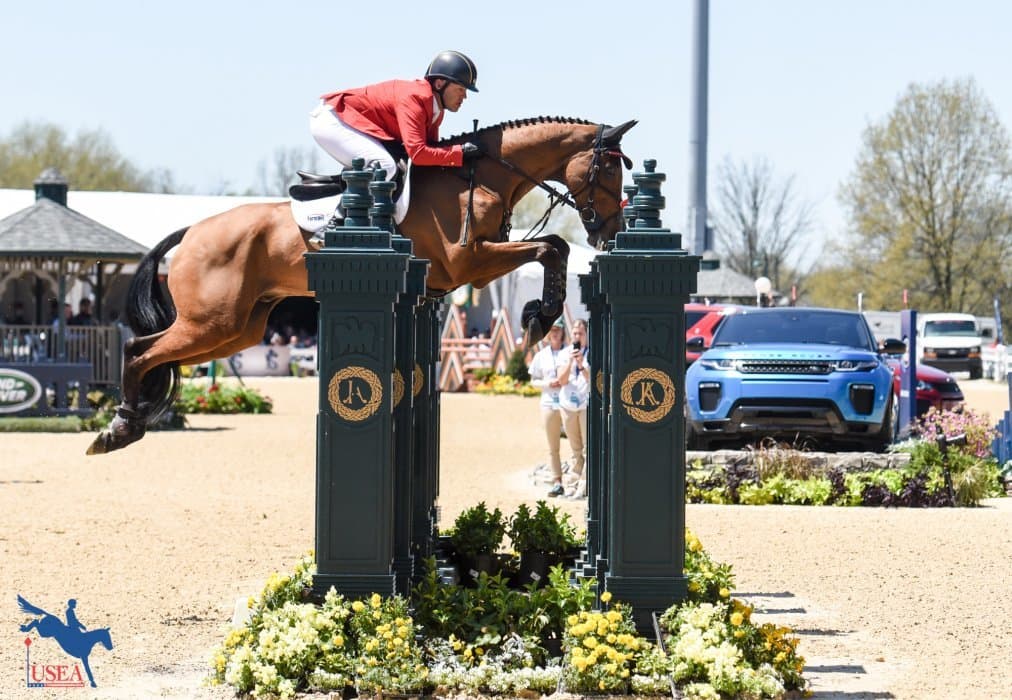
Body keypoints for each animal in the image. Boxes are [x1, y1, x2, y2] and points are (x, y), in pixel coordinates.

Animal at [87, 116, 637, 456]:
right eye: (610, 166)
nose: (608, 230)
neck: (481, 175)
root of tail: (193, 231)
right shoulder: (471, 264)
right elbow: (551, 248)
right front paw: (539, 316)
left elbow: (554, 247)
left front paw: (539, 314)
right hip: (211, 322)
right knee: (139, 349)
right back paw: (119, 427)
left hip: (237, 329)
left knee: (161, 354)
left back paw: (126, 424)